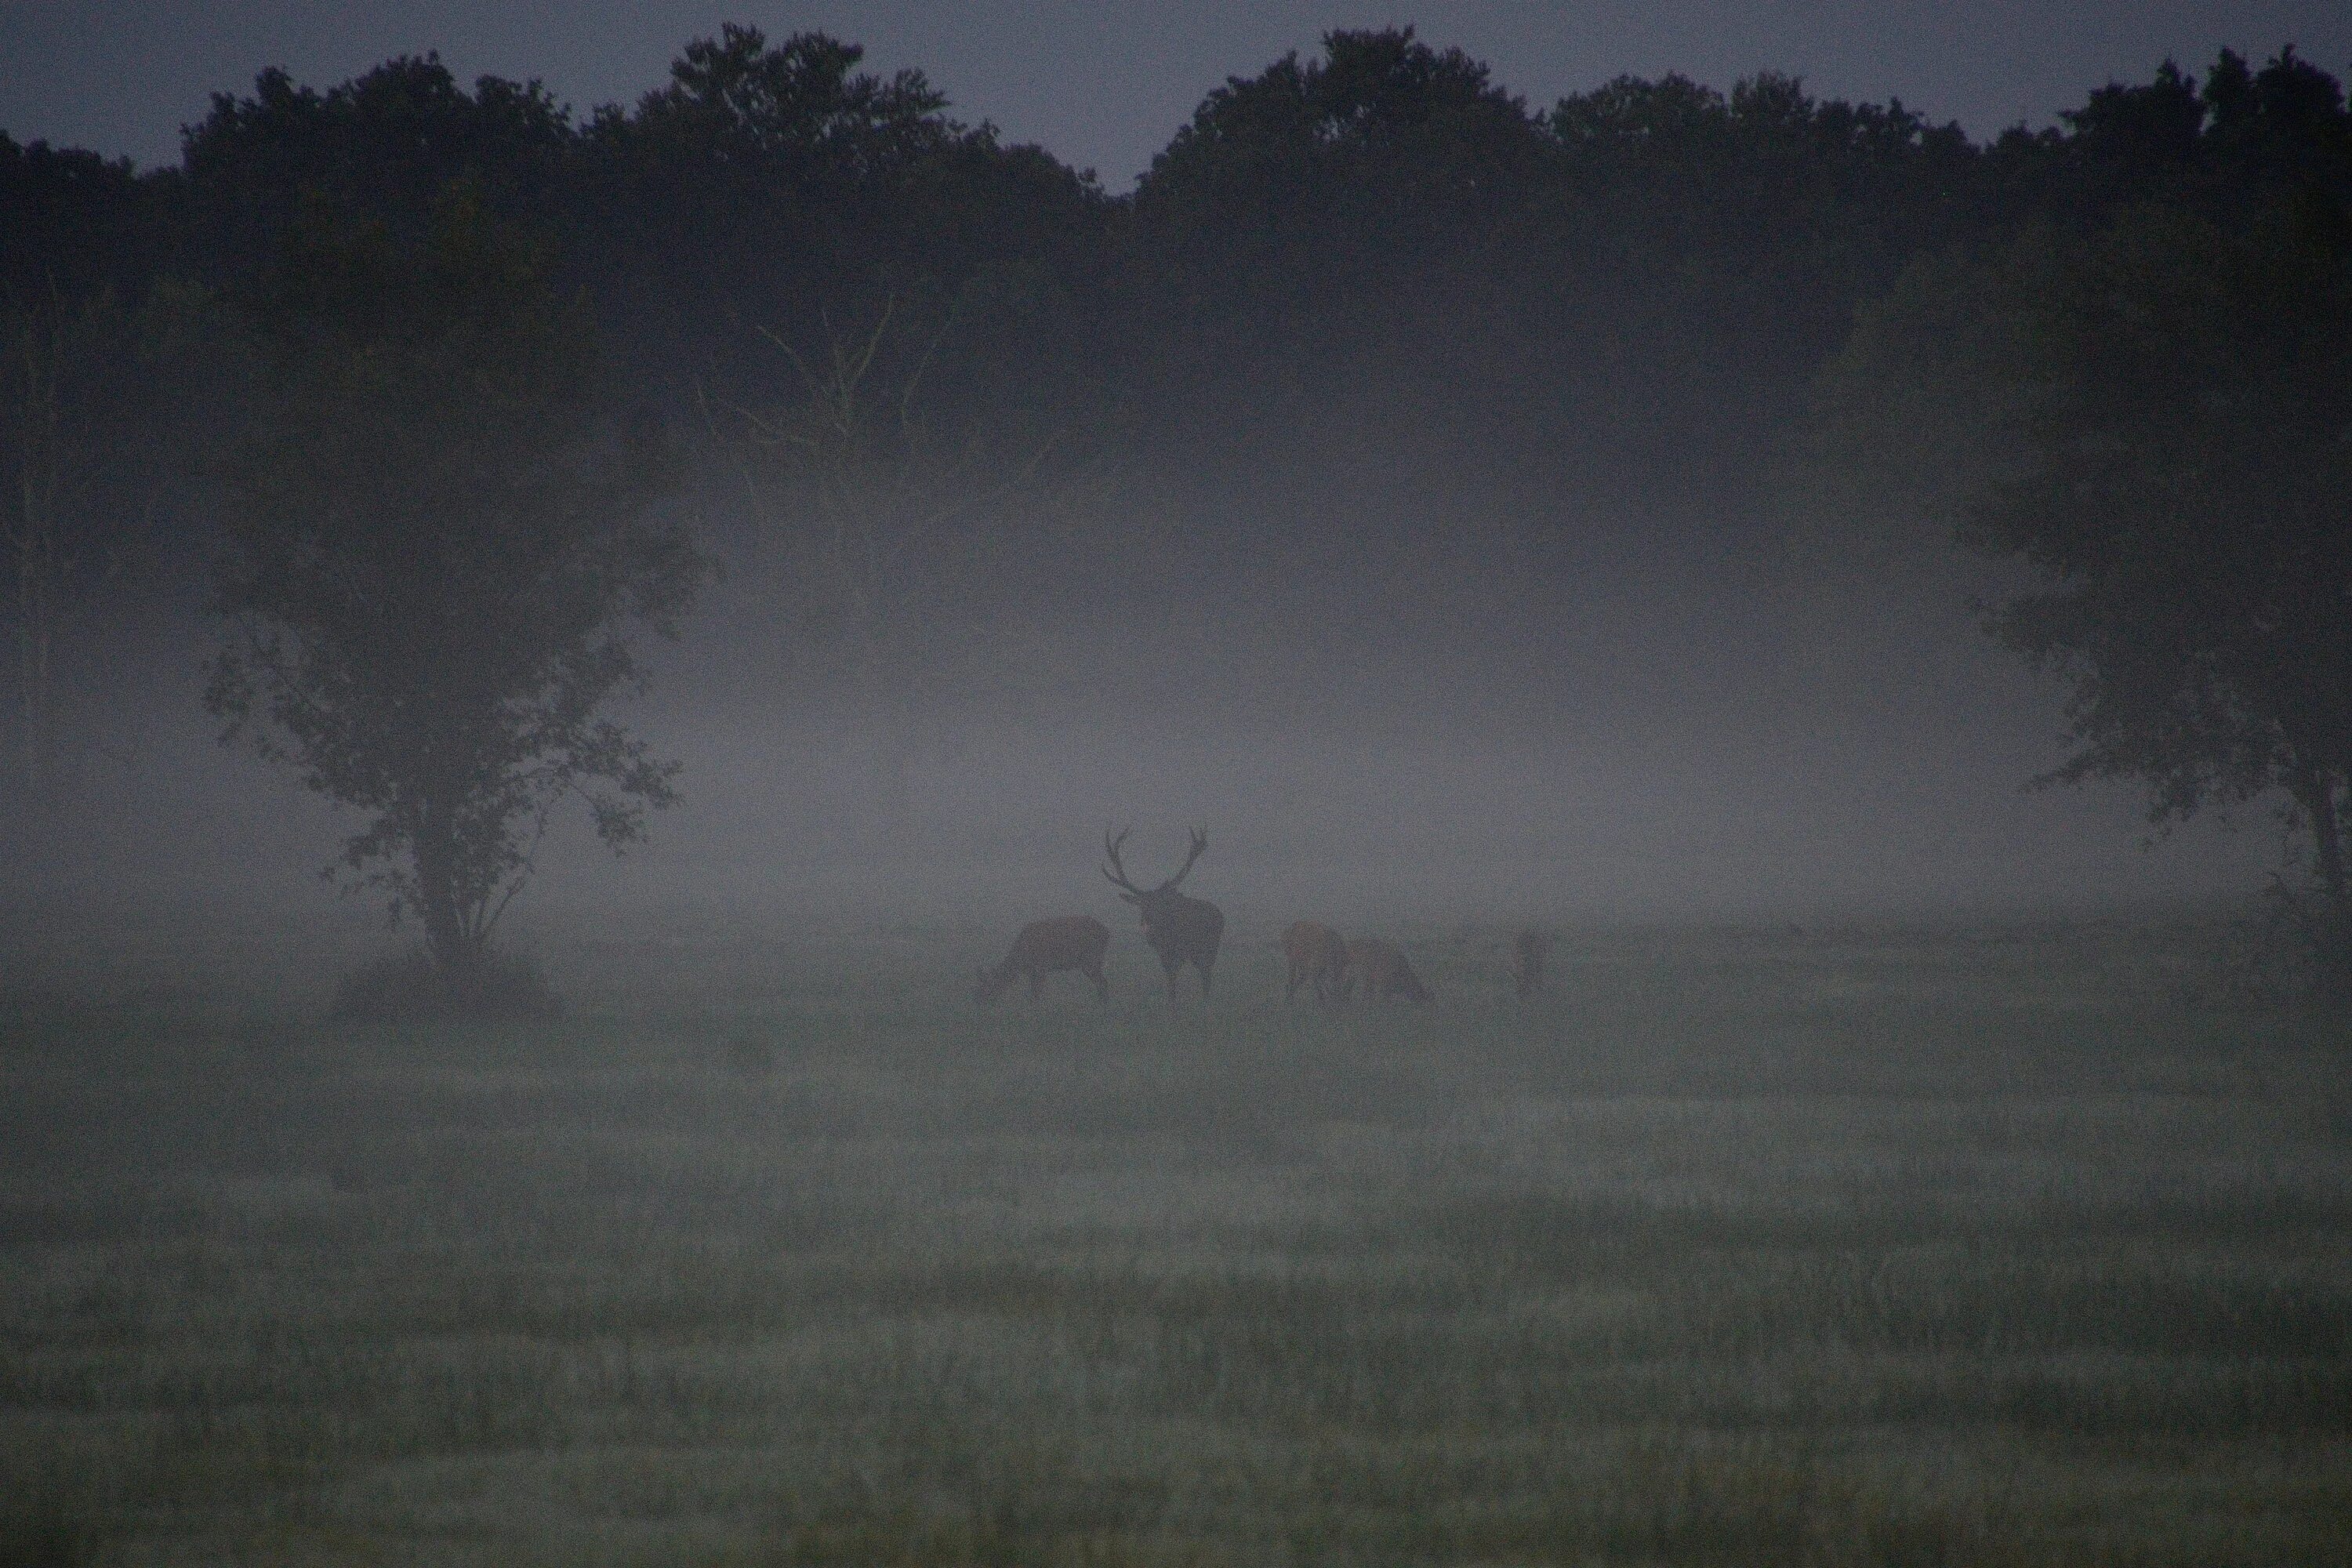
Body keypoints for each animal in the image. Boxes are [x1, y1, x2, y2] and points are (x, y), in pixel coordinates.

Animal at [978, 921, 1115, 1006]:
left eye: (989, 986)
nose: (980, 1001)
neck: (1020, 961)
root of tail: (1107, 934)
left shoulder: (1040, 968)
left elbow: (1036, 992)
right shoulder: (1035, 971)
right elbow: (1035, 991)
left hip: (1090, 960)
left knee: (1103, 982)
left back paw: (1103, 1006)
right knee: (1102, 982)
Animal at [1091, 827, 1223, 1001]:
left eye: (1159, 905)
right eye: (1142, 905)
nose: (1147, 925)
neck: (1163, 937)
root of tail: (1220, 915)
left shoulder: (1176, 952)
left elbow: (1173, 982)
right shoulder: (1164, 954)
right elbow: (1171, 983)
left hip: (1208, 947)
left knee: (1206, 975)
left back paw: (1206, 1001)